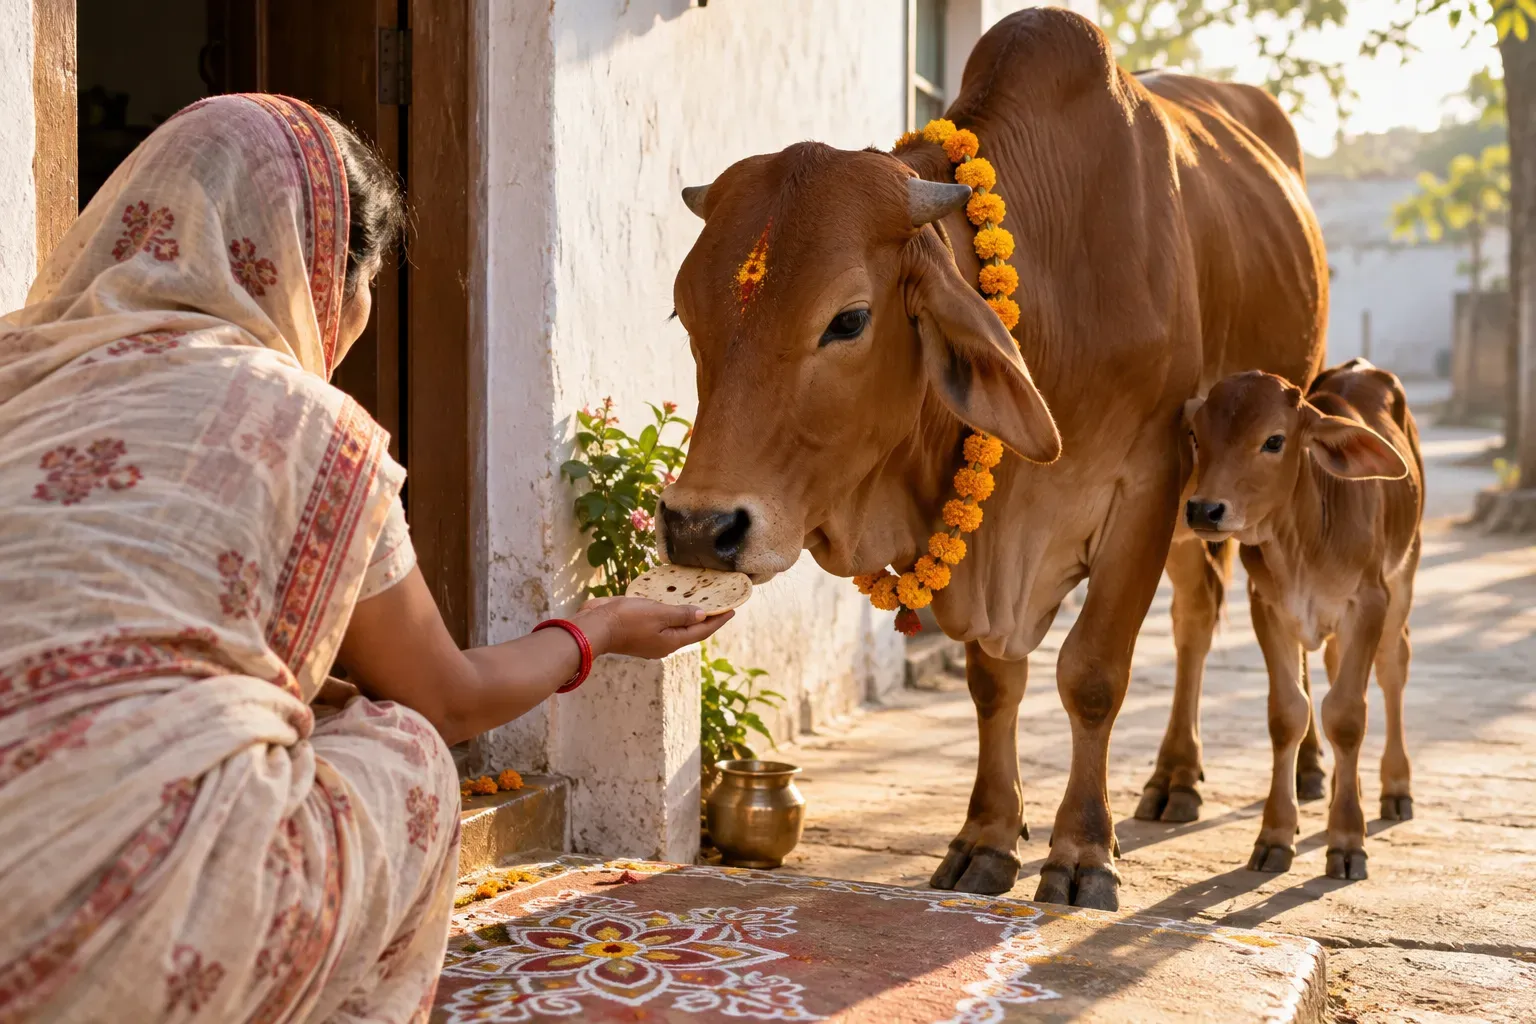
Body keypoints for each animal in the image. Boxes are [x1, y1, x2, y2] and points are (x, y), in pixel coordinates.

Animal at [659, 8, 1327, 908]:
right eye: (685, 313)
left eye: (849, 320)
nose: (700, 527)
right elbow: (992, 682)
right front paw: (985, 839)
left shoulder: (1147, 488)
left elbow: (1091, 674)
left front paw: (1081, 854)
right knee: (1198, 610)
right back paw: (1177, 776)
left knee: (1224, 616)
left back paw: (1290, 769)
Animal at [1183, 361, 1422, 879]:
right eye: (1196, 434)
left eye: (1274, 441)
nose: (1204, 509)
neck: (1303, 540)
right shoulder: (1268, 606)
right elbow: (1289, 713)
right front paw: (1275, 835)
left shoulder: (1368, 603)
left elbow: (1348, 716)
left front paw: (1347, 840)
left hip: (1404, 578)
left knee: (1393, 671)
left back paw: (1395, 788)